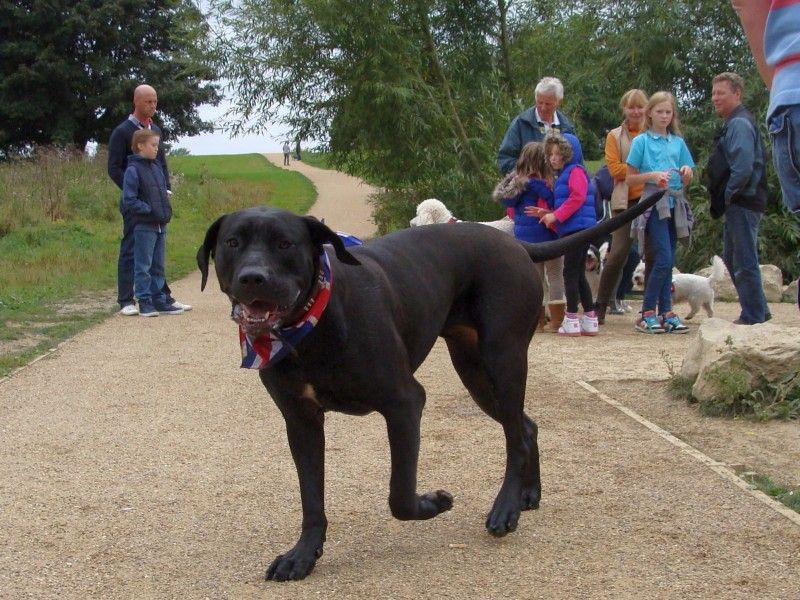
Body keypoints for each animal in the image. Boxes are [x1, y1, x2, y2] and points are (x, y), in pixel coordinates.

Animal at [195, 190, 664, 580]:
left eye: (285, 244)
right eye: (232, 243)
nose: (253, 277)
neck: (311, 325)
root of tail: (514, 244)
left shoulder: (404, 403)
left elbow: (399, 497)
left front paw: (434, 503)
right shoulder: (301, 421)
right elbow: (312, 498)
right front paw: (302, 555)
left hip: (503, 359)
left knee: (514, 435)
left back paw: (506, 509)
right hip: (475, 372)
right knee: (526, 428)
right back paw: (528, 494)